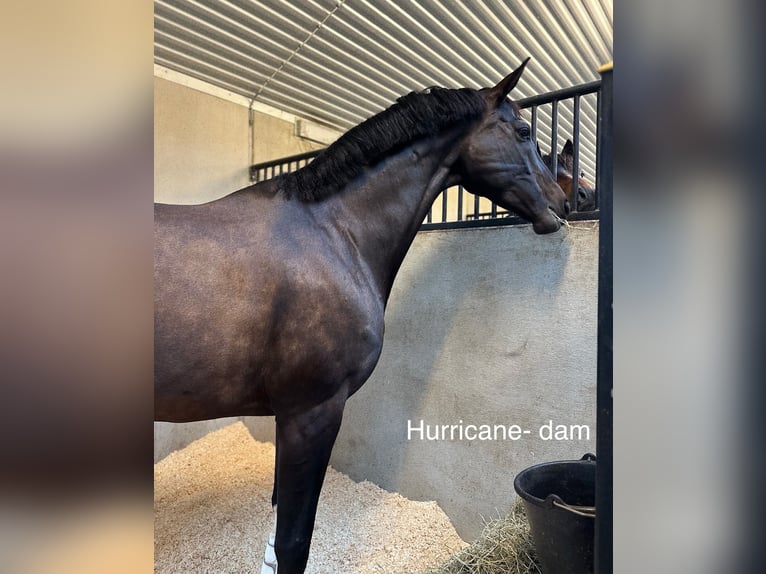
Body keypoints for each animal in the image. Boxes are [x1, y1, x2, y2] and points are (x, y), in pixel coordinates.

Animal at [154, 58, 568, 574]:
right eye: (524, 130)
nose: (562, 204)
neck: (333, 235)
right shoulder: (311, 414)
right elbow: (293, 543)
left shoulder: (290, 418)